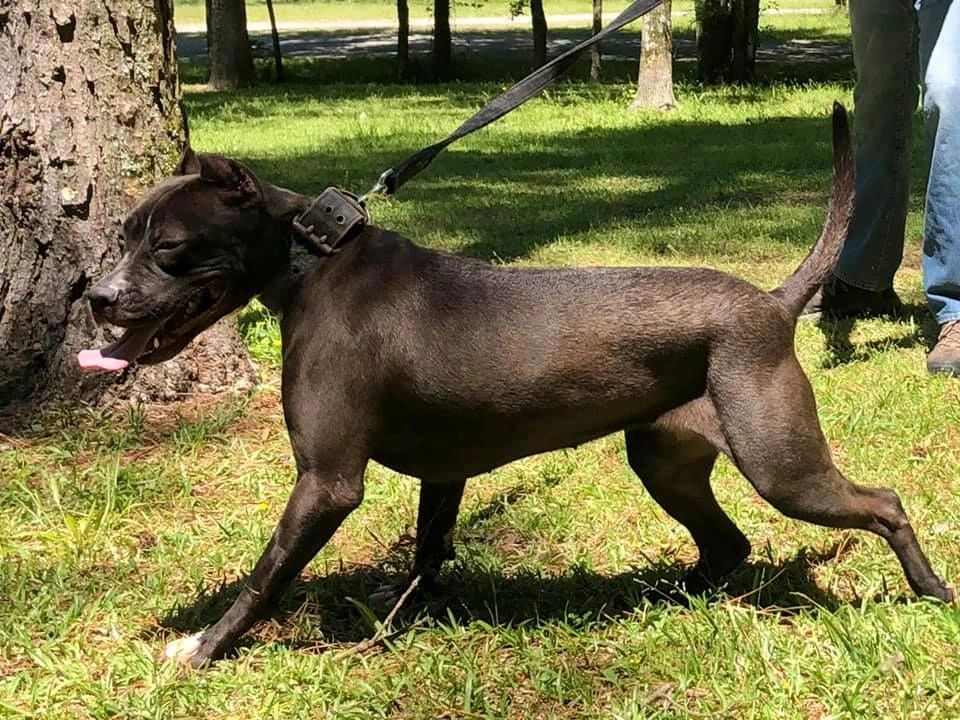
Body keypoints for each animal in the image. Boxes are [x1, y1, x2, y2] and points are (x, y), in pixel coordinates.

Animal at [79, 104, 953, 667]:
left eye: (169, 247)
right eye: (122, 235)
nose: (95, 296)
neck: (310, 262)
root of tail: (772, 303)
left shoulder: (326, 483)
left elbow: (265, 577)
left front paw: (204, 648)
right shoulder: (443, 472)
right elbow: (427, 552)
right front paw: (398, 621)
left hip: (782, 465)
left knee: (884, 503)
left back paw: (932, 589)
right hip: (664, 459)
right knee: (726, 542)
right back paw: (667, 598)